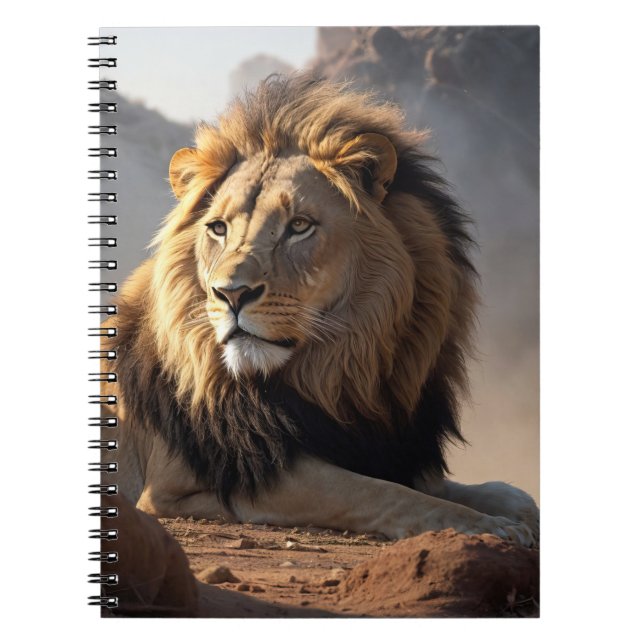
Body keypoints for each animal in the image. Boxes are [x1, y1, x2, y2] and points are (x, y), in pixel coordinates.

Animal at [102, 74, 539, 546]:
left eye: (299, 226)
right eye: (218, 228)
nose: (230, 294)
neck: (337, 373)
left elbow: (503, 493)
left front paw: (506, 510)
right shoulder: (194, 481)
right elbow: (375, 491)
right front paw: (487, 526)